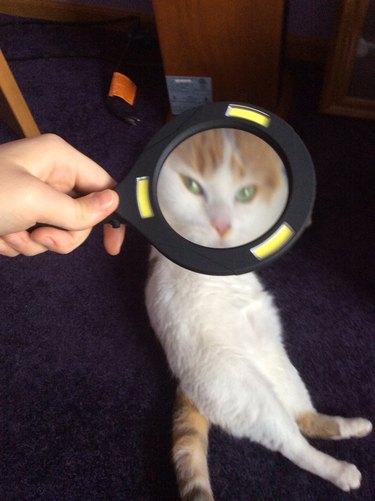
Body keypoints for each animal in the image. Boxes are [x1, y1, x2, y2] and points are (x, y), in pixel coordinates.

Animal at [145, 127, 372, 498]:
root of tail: (186, 385)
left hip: (281, 367)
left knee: (304, 417)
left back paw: (354, 426)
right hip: (253, 398)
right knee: (294, 444)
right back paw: (340, 471)